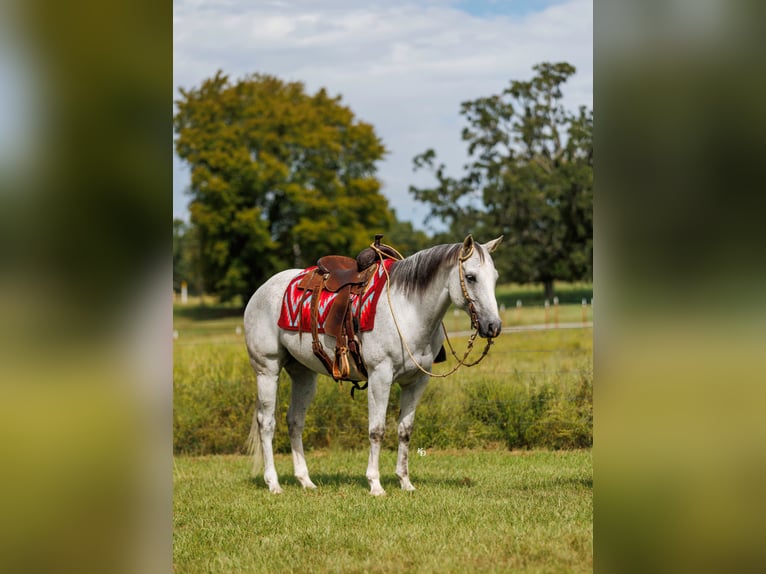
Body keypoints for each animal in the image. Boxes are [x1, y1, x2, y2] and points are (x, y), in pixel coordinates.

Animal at [244, 234, 503, 495]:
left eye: (495, 276)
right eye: (470, 277)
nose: (494, 326)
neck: (408, 309)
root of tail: (260, 291)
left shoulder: (416, 382)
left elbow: (405, 431)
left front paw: (405, 482)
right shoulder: (380, 376)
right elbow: (376, 431)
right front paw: (375, 484)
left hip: (303, 374)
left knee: (295, 421)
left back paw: (305, 480)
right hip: (267, 370)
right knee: (266, 423)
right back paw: (273, 483)